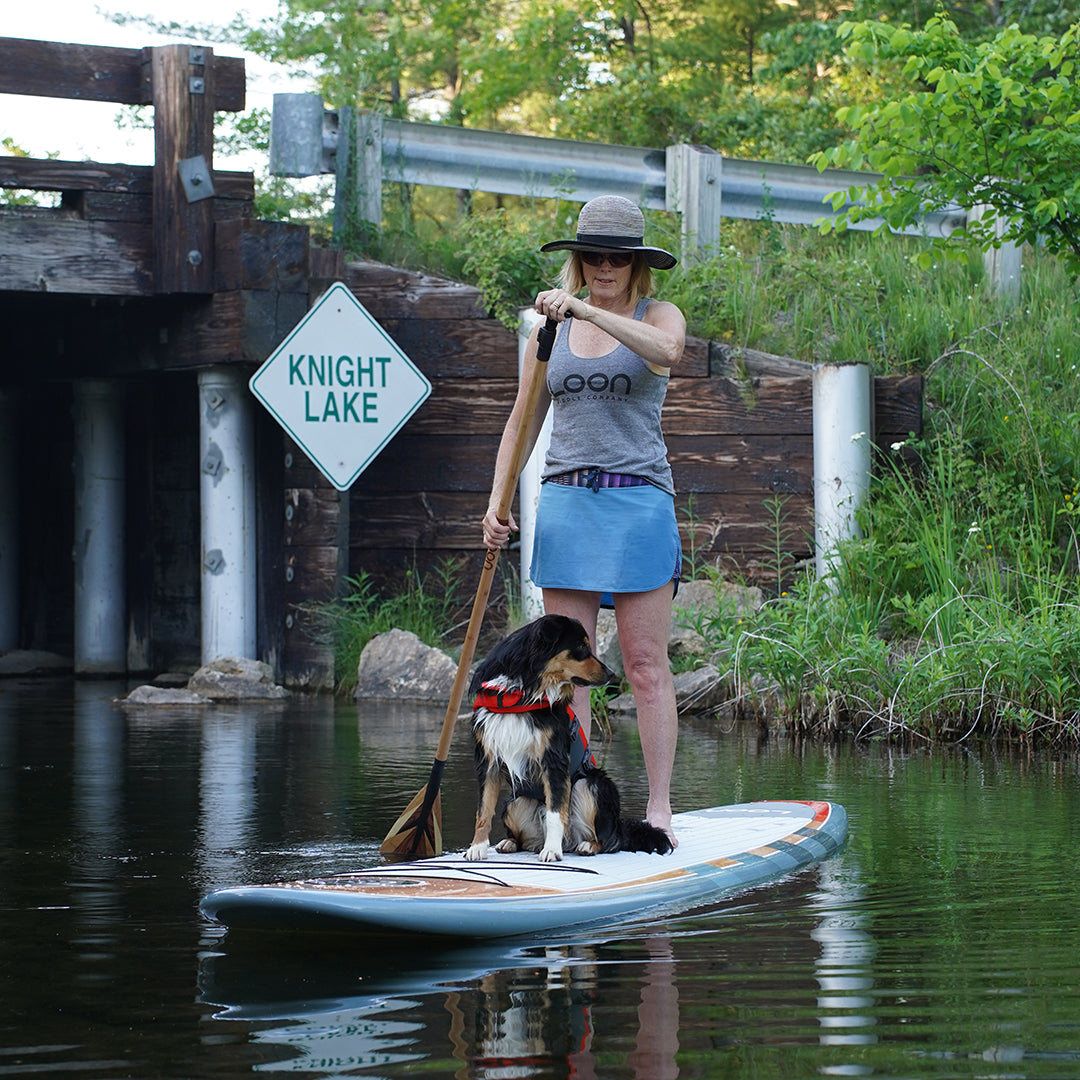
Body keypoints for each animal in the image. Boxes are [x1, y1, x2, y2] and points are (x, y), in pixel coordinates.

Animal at [462, 617, 669, 859]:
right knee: (524, 839)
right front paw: (476, 847)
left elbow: (555, 811)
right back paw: (510, 842)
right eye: (581, 647)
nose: (610, 673)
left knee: (608, 840)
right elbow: (483, 810)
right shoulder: (488, 759)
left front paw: (552, 850)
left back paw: (588, 845)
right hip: (515, 801)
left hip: (592, 785)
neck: (523, 690)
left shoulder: (554, 759)